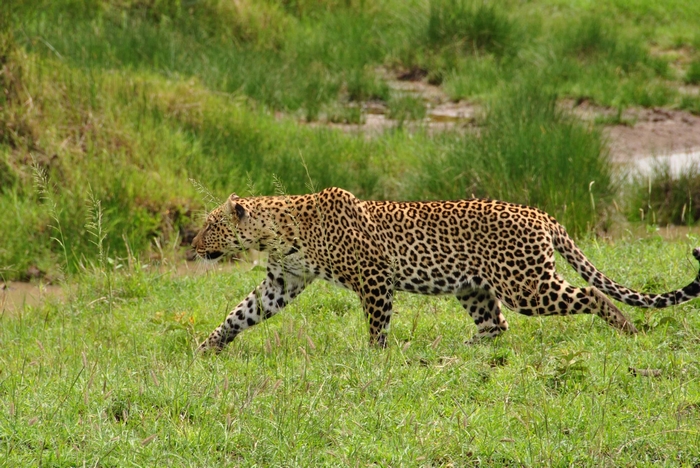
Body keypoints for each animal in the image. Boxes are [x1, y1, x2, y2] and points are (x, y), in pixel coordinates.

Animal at [193, 187, 700, 353]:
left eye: (211, 225)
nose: (193, 246)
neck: (275, 231)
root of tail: (541, 214)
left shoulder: (375, 278)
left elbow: (377, 325)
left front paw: (375, 358)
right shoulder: (283, 281)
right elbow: (242, 312)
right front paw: (207, 347)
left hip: (526, 284)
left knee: (591, 295)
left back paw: (628, 330)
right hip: (474, 288)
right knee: (495, 325)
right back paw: (462, 348)